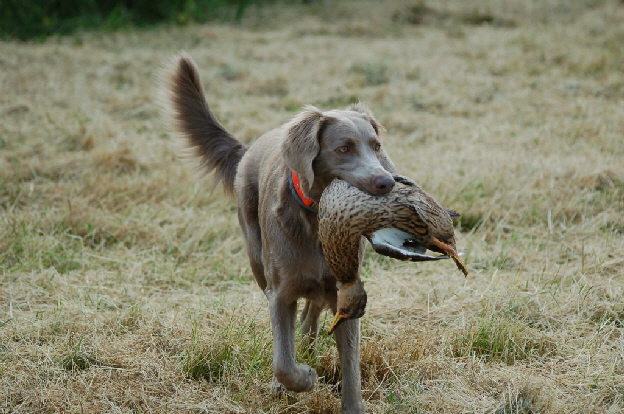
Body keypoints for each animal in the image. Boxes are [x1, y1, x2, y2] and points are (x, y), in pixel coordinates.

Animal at [163, 53, 398, 412]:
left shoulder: (346, 294)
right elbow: (282, 360)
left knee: (313, 310)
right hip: (257, 260)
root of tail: (250, 149)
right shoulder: (281, 291)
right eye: (344, 148)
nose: (386, 182)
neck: (316, 222)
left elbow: (351, 367)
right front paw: (303, 379)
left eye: (376, 146)